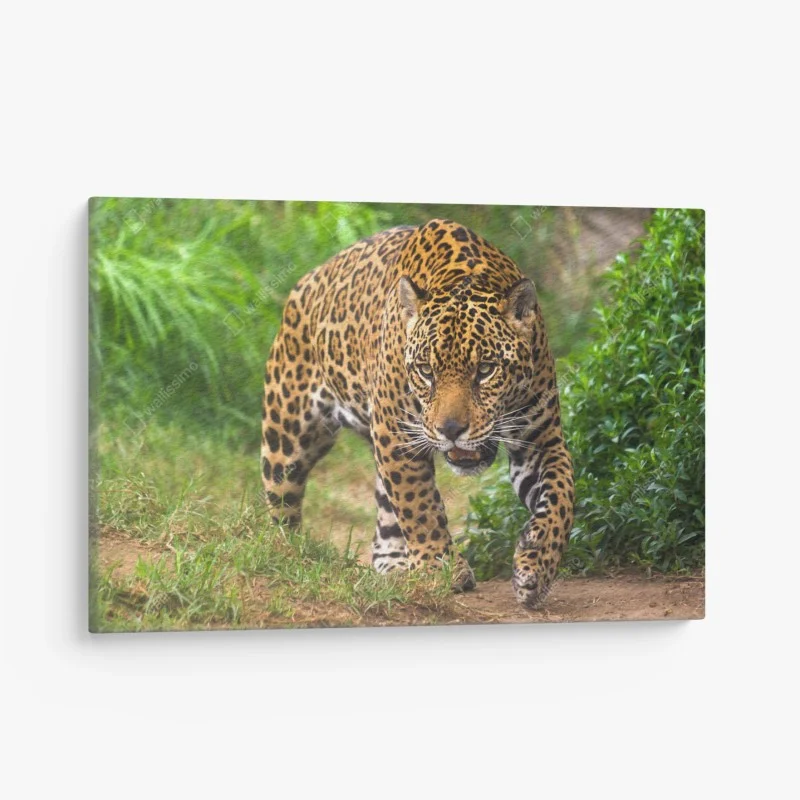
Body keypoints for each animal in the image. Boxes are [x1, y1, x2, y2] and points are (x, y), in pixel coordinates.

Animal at [260, 218, 574, 607]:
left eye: (486, 370)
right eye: (426, 371)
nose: (451, 429)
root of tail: (308, 279)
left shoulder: (540, 440)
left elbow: (562, 497)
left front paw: (537, 563)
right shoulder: (396, 435)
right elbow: (419, 505)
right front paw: (442, 568)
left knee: (385, 509)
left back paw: (394, 565)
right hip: (287, 438)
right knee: (282, 506)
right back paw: (287, 557)